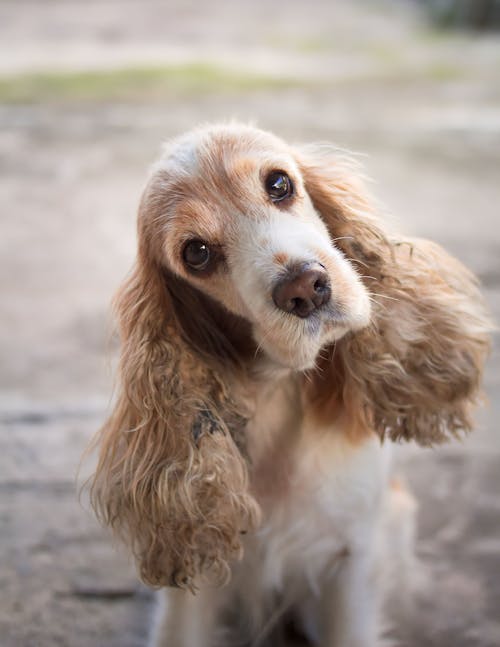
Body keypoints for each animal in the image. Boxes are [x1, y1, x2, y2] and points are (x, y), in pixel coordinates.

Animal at [89, 123, 488, 647]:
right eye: (196, 254)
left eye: (279, 184)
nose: (304, 288)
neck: (276, 394)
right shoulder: (194, 585)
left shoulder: (351, 559)